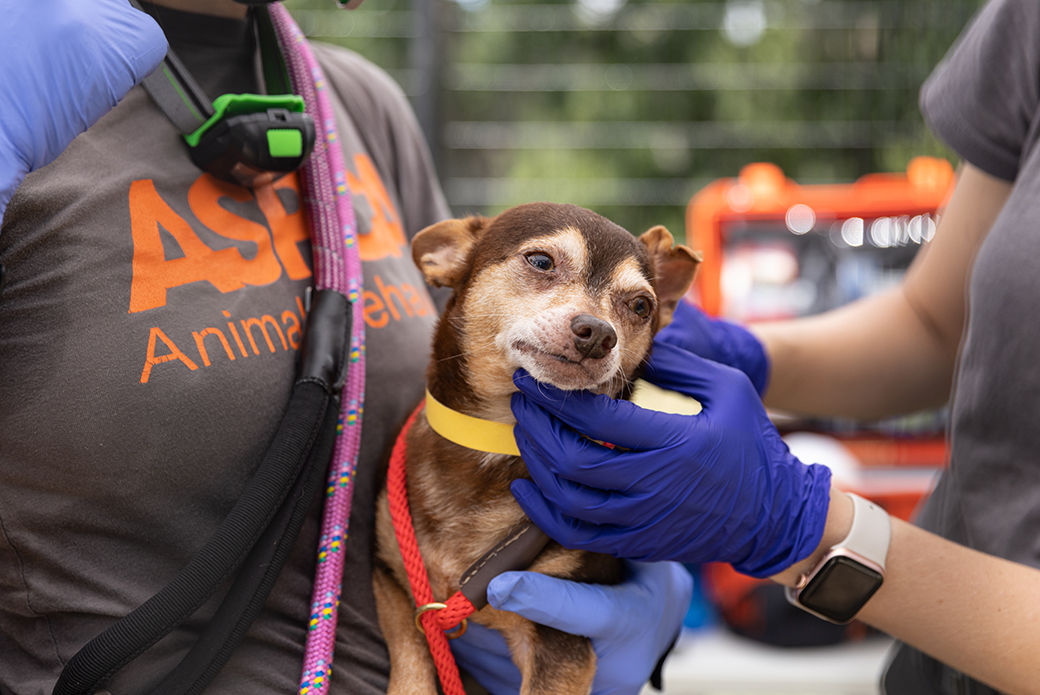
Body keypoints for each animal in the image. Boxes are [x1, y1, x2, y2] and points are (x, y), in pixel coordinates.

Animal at [372, 201, 698, 695]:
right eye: (541, 261)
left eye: (641, 306)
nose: (598, 332)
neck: (499, 434)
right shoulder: (396, 587)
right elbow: (411, 673)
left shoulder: (559, 637)